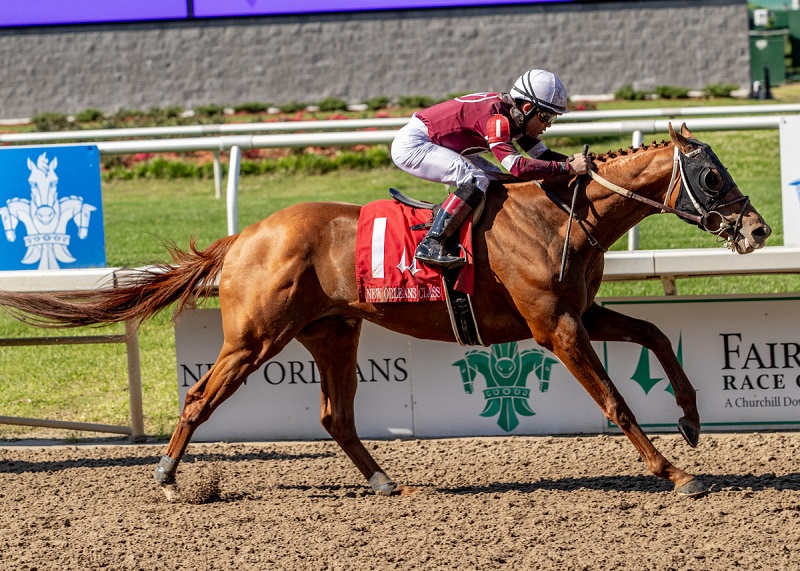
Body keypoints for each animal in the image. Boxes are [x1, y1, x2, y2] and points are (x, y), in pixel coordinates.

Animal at [0, 123, 776, 498]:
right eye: (712, 176)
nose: (757, 228)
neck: (561, 216)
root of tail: (244, 236)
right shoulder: (553, 327)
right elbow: (615, 400)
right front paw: (677, 474)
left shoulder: (579, 314)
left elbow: (655, 333)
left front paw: (693, 419)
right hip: (254, 337)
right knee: (199, 396)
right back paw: (165, 476)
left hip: (332, 333)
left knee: (334, 416)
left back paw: (381, 479)